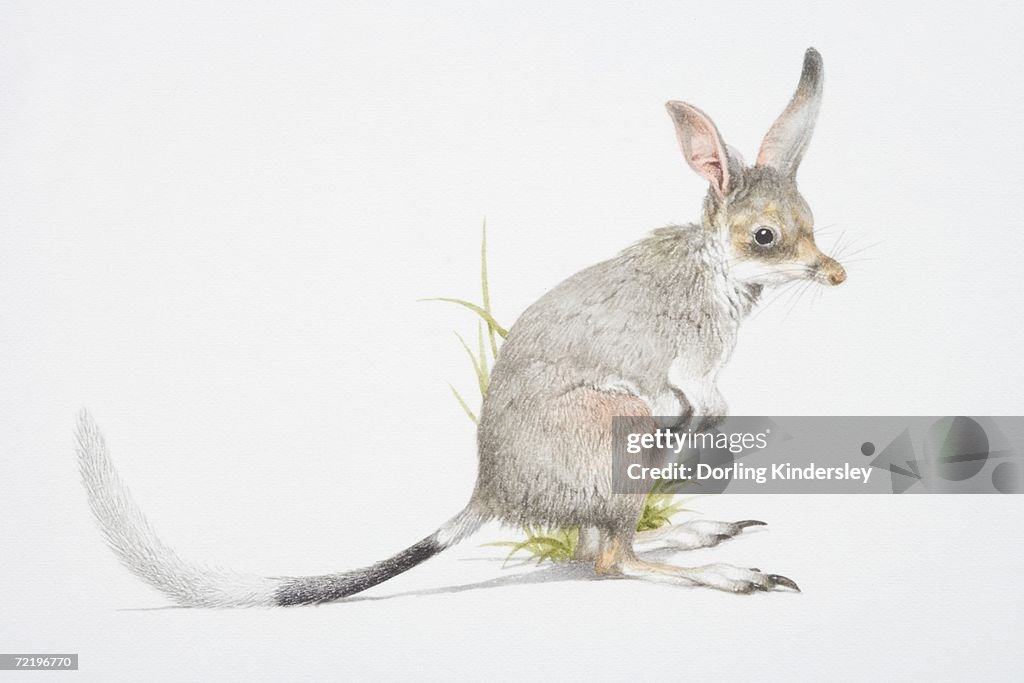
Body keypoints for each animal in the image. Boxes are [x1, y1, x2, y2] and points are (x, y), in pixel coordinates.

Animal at [77, 47, 844, 606]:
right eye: (767, 237)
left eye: (811, 221)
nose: (834, 274)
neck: (718, 267)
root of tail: (490, 494)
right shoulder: (690, 362)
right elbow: (706, 400)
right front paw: (705, 444)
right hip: (617, 430)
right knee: (609, 560)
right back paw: (731, 569)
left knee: (594, 549)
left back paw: (703, 531)